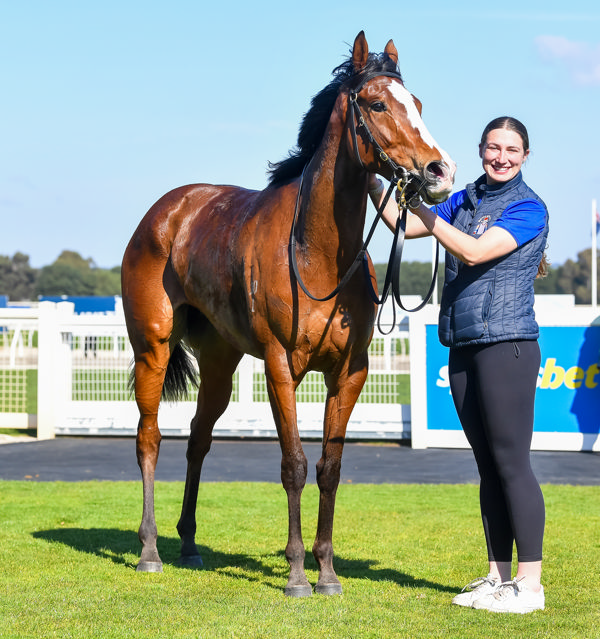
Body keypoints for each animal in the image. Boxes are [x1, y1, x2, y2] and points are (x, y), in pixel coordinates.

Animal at [122, 32, 454, 596]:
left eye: (418, 104)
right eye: (378, 104)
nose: (440, 171)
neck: (315, 255)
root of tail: (166, 213)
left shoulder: (350, 371)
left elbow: (329, 467)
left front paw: (327, 571)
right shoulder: (281, 367)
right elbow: (294, 465)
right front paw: (298, 573)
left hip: (219, 362)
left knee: (198, 439)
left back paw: (188, 542)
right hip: (153, 347)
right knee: (150, 438)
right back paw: (149, 550)